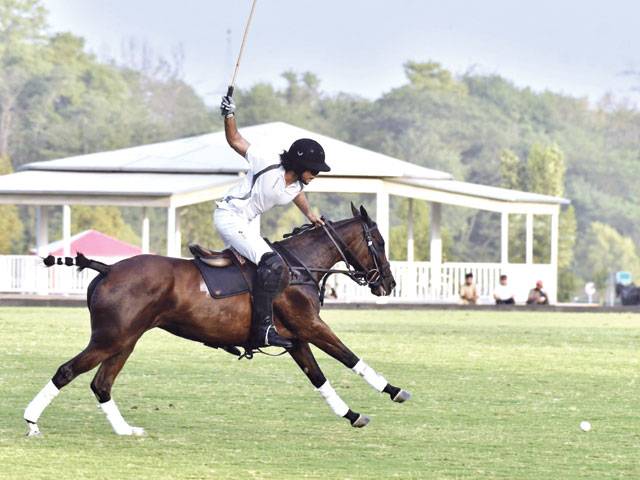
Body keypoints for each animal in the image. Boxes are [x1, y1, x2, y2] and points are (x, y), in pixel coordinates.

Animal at [23, 204, 410, 436]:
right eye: (378, 241)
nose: (389, 284)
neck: (299, 267)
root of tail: (107, 268)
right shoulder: (311, 327)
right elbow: (349, 358)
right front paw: (394, 391)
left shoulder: (296, 338)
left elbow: (319, 378)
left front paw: (352, 415)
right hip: (110, 339)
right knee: (67, 372)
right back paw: (31, 422)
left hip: (126, 341)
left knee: (101, 384)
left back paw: (125, 430)